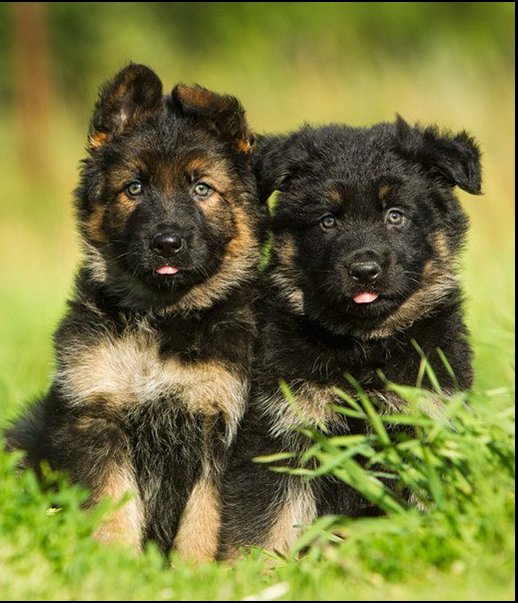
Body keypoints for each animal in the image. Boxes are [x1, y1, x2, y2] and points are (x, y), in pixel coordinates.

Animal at [7, 63, 264, 561]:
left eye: (202, 188)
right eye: (134, 187)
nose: (167, 242)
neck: (161, 318)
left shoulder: (221, 427)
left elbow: (204, 516)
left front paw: (194, 569)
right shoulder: (96, 413)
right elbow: (113, 502)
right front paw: (114, 564)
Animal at [218, 117, 482, 558]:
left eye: (395, 215)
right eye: (328, 220)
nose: (364, 270)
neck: (364, 346)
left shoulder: (427, 417)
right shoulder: (284, 431)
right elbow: (265, 527)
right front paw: (254, 570)